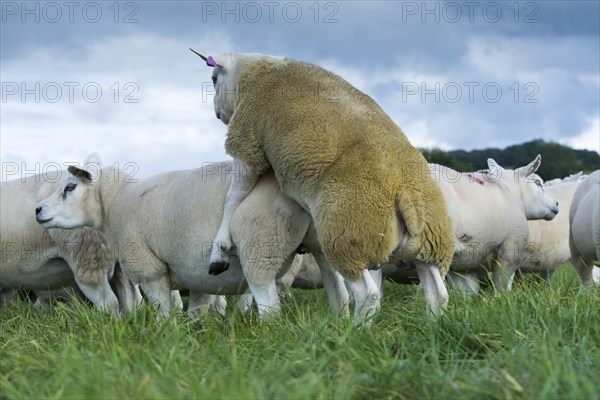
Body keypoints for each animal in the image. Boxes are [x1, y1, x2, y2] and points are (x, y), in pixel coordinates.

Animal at [195, 51, 452, 324]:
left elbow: (233, 198)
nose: (216, 111)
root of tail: (407, 194)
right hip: (430, 244)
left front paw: (220, 249)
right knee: (437, 292)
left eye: (213, 79)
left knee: (367, 292)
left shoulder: (247, 141)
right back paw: (434, 324)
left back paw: (356, 329)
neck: (254, 71)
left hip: (349, 235)